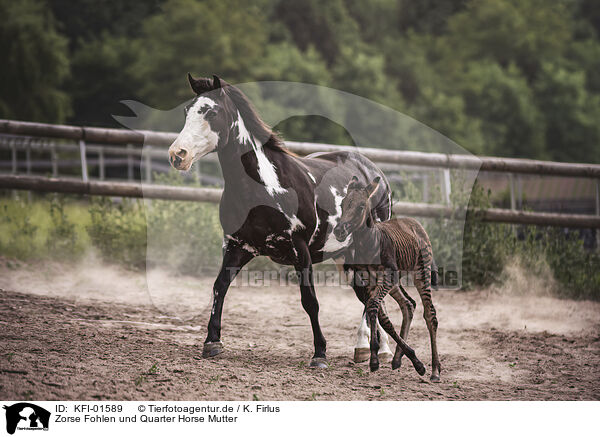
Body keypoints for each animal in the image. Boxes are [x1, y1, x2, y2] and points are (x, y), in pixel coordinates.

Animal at [332, 175, 440, 380]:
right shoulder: (367, 280)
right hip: (394, 282)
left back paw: (435, 370)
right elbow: (380, 315)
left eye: (360, 207)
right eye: (342, 204)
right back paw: (398, 359)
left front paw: (376, 357)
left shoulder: (386, 277)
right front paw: (378, 357)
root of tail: (415, 223)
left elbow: (375, 307)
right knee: (408, 305)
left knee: (430, 314)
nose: (339, 231)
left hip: (421, 272)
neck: (370, 244)